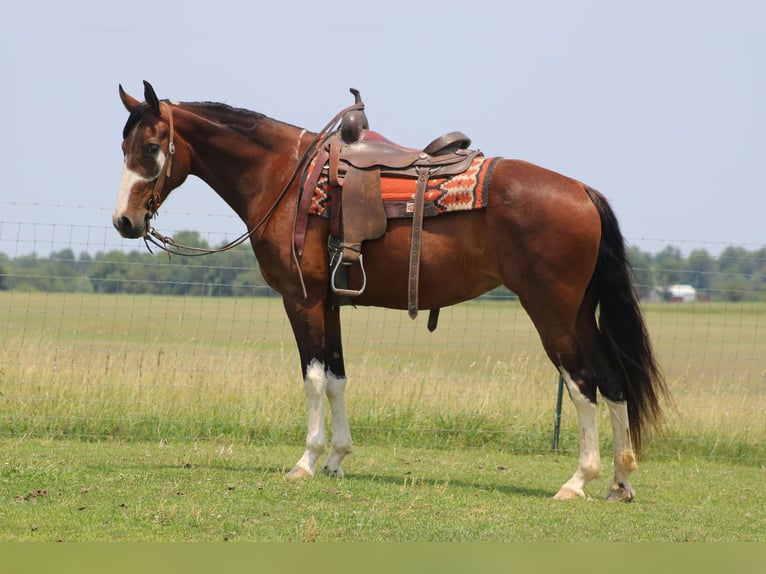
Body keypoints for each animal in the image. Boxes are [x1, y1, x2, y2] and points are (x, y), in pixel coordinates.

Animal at [111, 82, 668, 504]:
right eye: (124, 147)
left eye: (151, 148)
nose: (124, 221)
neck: (285, 178)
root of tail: (582, 192)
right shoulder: (329, 302)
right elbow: (337, 378)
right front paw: (337, 459)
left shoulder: (302, 299)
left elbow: (313, 379)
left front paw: (307, 460)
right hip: (579, 314)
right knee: (613, 381)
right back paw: (619, 480)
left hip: (551, 313)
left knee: (583, 384)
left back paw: (578, 481)